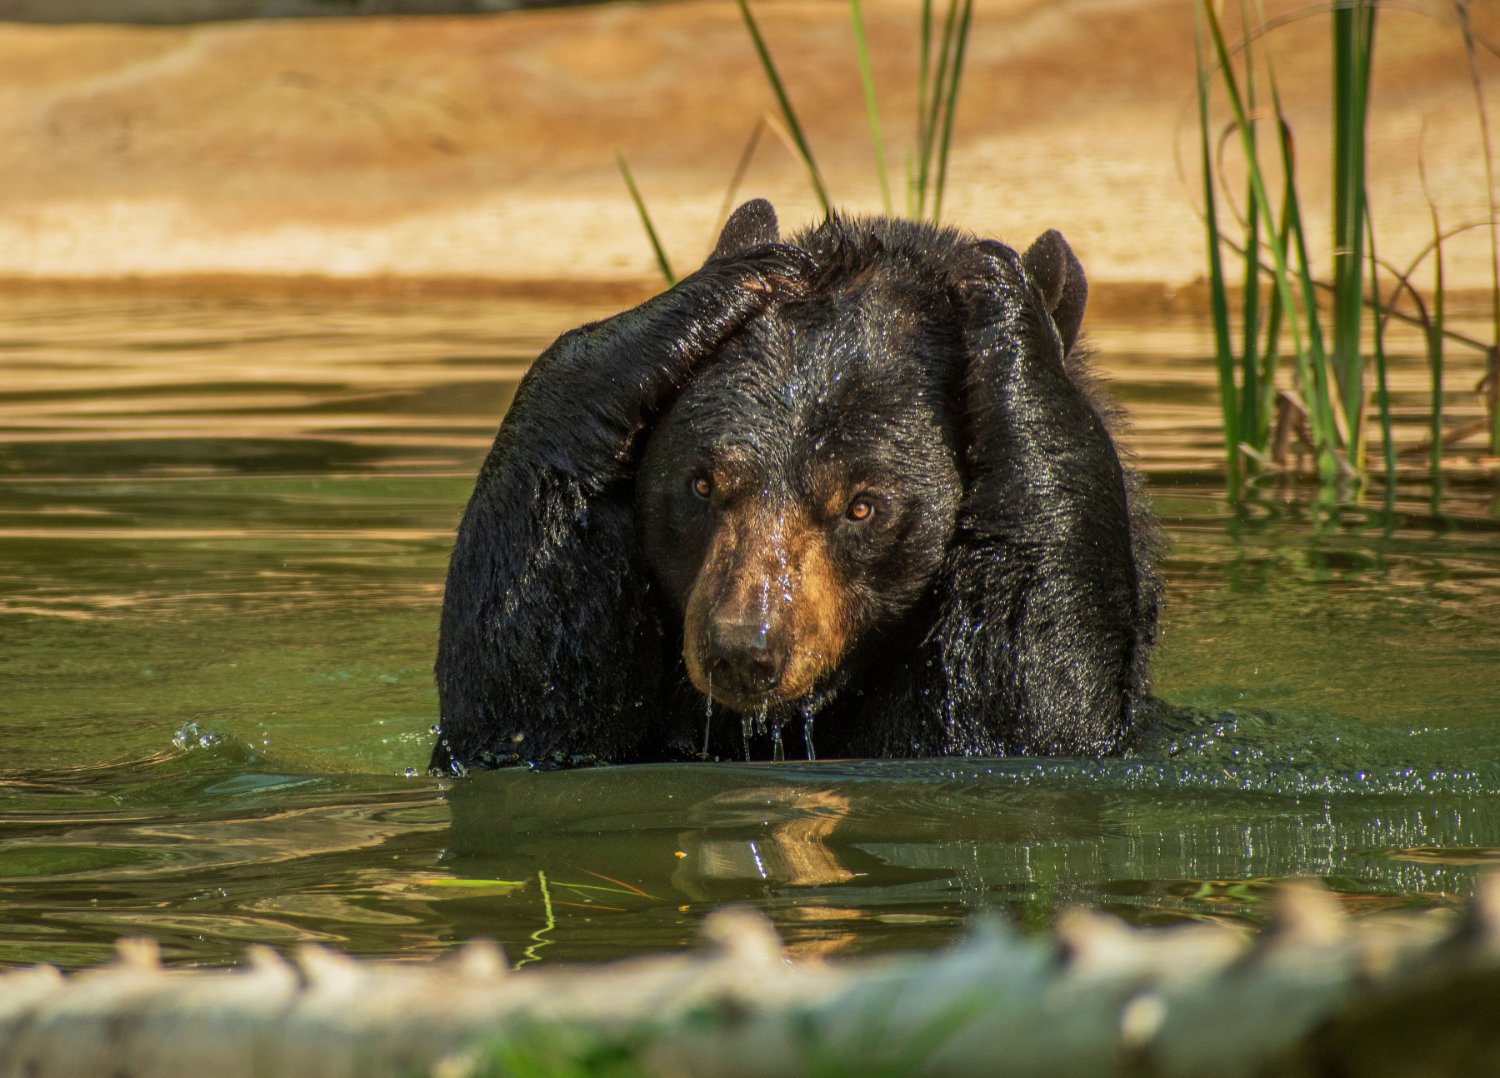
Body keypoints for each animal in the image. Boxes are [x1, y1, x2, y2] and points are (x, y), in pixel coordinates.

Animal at [429, 199, 1160, 774]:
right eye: (701, 485)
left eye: (863, 506)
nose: (742, 649)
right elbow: (527, 707)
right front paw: (732, 279)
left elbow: (1022, 707)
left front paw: (1001, 290)